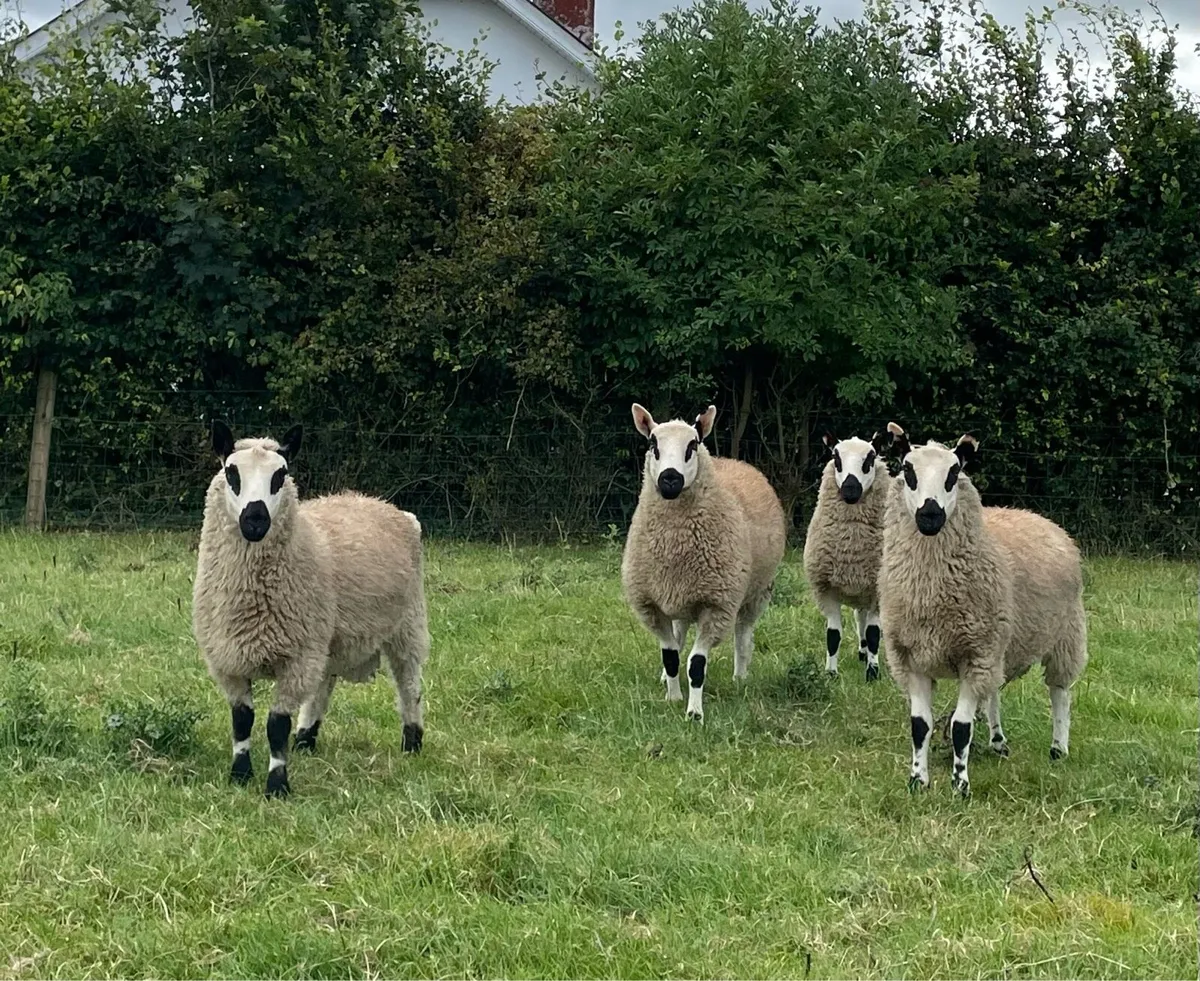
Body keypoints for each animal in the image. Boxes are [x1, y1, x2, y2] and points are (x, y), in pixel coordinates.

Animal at [192, 422, 430, 798]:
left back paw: (412, 741)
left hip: (407, 623)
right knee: (324, 685)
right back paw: (305, 738)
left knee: (409, 683)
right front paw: (240, 775)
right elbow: (241, 720)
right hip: (328, 635)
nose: (255, 520)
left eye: (281, 475)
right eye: (231, 473)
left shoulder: (297, 657)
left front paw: (277, 785)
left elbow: (276, 725)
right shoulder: (228, 658)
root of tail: (377, 502)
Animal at [621, 403, 787, 722]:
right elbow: (671, 656)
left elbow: (696, 664)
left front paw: (694, 713)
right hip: (683, 599)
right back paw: (667, 677)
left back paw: (740, 677)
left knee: (743, 636)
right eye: (653, 444)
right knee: (680, 634)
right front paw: (672, 697)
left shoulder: (717, 606)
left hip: (757, 592)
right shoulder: (652, 605)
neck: (675, 546)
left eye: (692, 445)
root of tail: (734, 461)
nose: (669, 479)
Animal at [802, 430, 892, 682]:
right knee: (859, 618)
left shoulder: (876, 590)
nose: (850, 491)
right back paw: (861, 653)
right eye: (836, 457)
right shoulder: (826, 589)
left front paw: (872, 673)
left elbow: (874, 634)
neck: (852, 548)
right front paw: (830, 673)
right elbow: (833, 635)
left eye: (870, 457)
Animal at [878, 422, 1088, 797]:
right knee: (993, 694)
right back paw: (998, 741)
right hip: (999, 646)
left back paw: (1058, 749)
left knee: (1060, 692)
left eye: (954, 472)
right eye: (907, 469)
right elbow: (919, 726)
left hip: (1066, 635)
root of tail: (1036, 516)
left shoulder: (975, 655)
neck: (931, 595)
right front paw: (917, 780)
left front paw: (960, 785)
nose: (930, 515)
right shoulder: (912, 657)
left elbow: (960, 728)